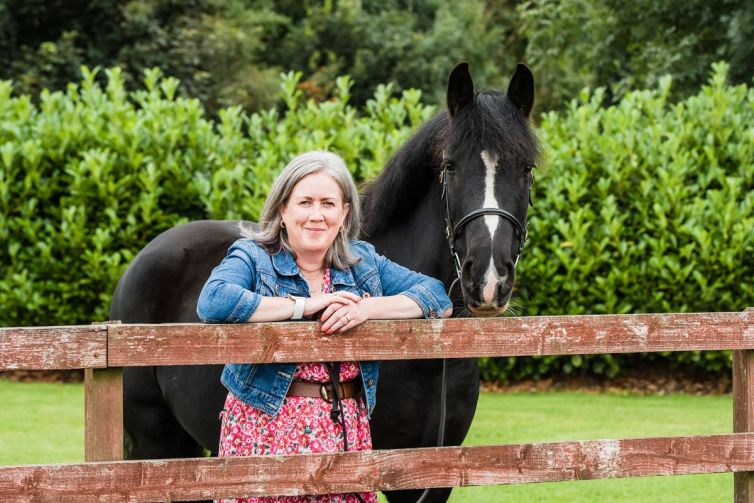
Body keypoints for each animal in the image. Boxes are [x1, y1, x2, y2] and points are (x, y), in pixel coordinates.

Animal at [110, 64, 536, 503]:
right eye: (450, 166)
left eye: (527, 169)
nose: (488, 277)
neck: (426, 355)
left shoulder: (432, 477)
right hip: (154, 440)